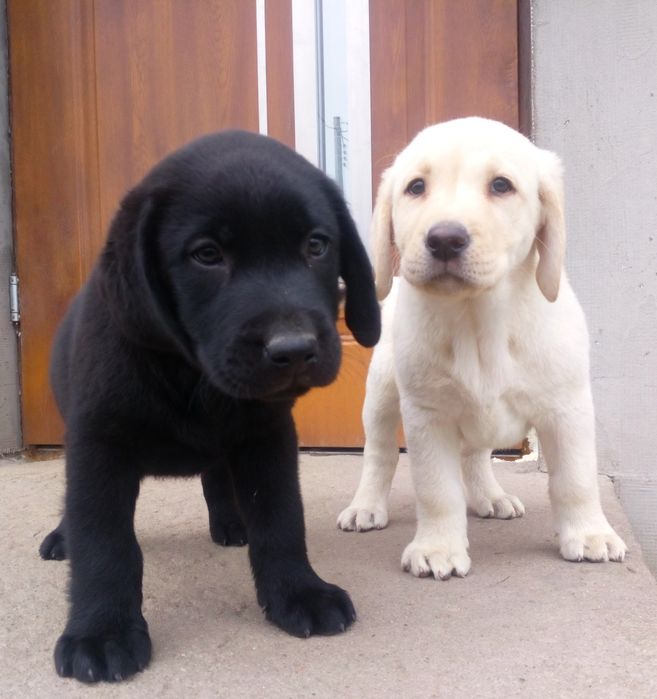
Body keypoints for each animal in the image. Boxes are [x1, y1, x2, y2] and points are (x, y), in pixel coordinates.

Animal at [38, 131, 380, 684]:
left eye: (316, 245)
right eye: (206, 255)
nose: (294, 350)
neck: (191, 375)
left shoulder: (267, 437)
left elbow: (281, 520)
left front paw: (299, 593)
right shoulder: (98, 444)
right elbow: (103, 542)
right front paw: (102, 632)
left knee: (216, 475)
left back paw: (231, 523)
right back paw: (61, 538)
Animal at [338, 117, 624, 580]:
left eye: (501, 185)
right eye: (416, 187)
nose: (444, 239)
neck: (478, 319)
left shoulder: (568, 408)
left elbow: (576, 479)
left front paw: (589, 533)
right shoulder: (428, 416)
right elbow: (437, 490)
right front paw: (437, 547)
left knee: (475, 455)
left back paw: (491, 495)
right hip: (381, 393)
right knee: (379, 453)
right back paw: (365, 506)